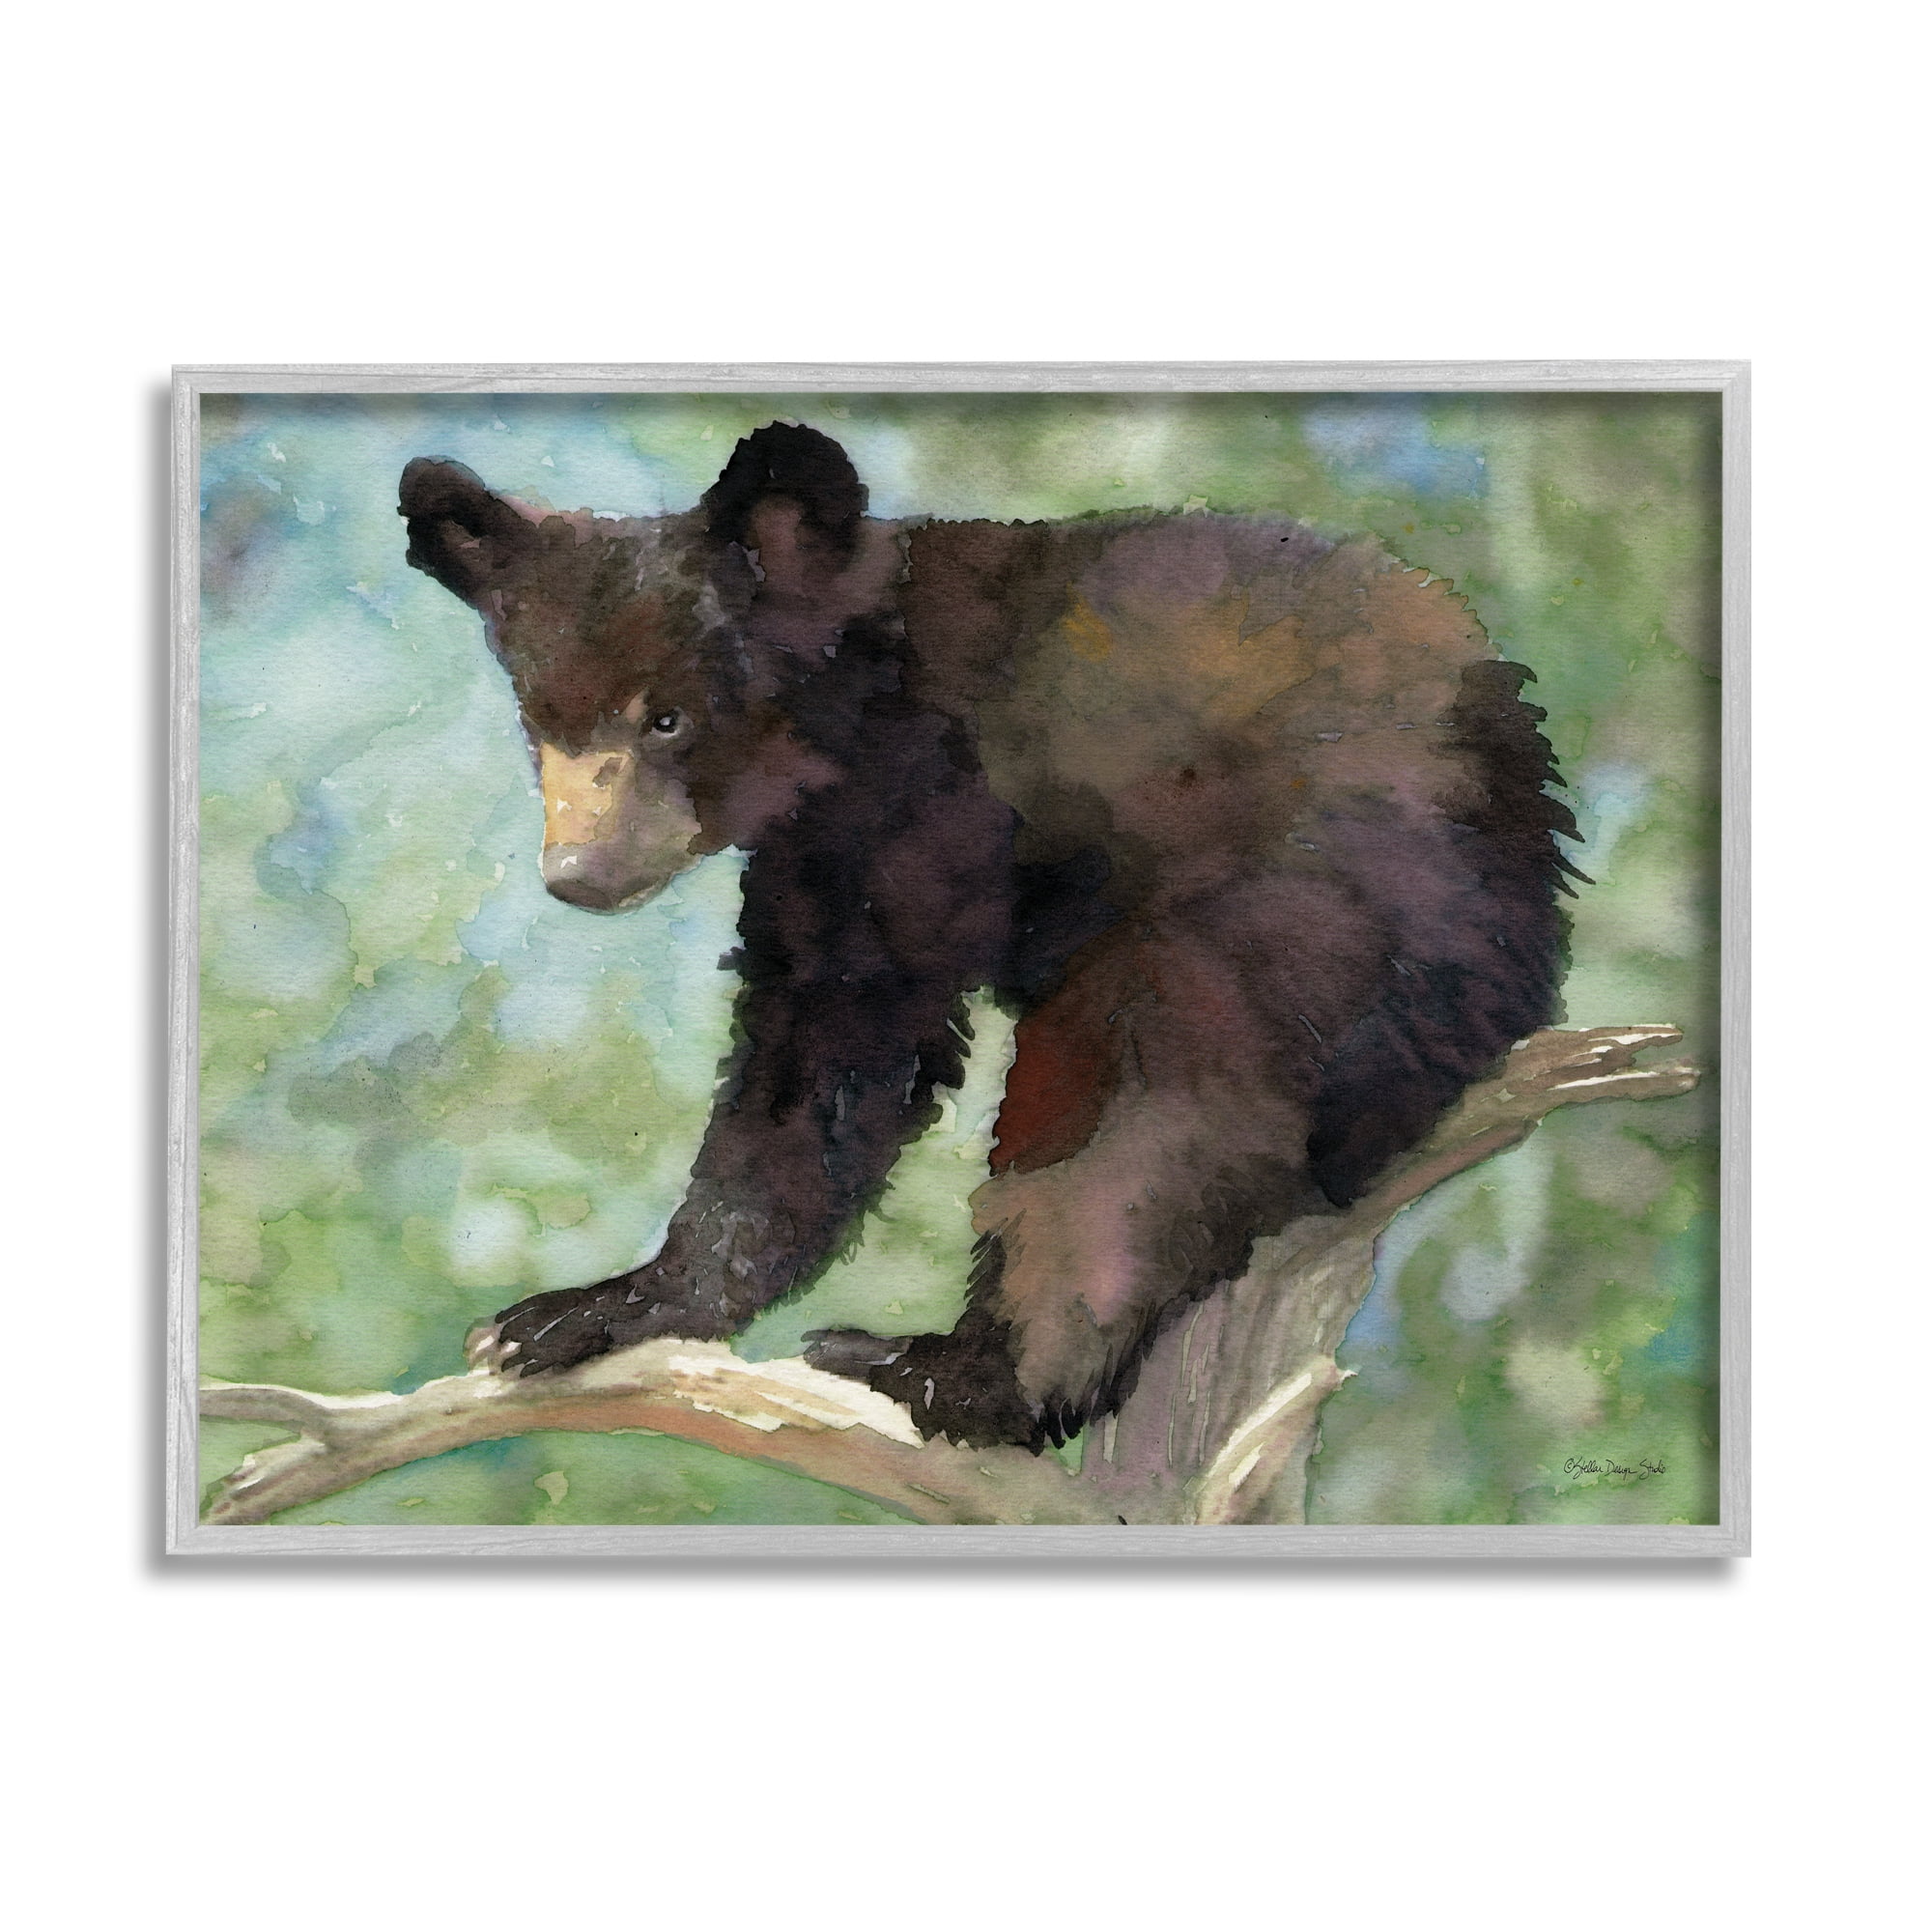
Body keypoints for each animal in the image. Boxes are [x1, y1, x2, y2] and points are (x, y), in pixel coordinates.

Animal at [399, 422, 1580, 1450]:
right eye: (543, 722)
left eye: (669, 716)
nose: (579, 875)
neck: (855, 703)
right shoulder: (817, 851)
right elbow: (811, 1060)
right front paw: (599, 1306)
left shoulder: (936, 804)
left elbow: (857, 1034)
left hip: (1301, 900)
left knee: (1143, 1114)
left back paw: (955, 1372)